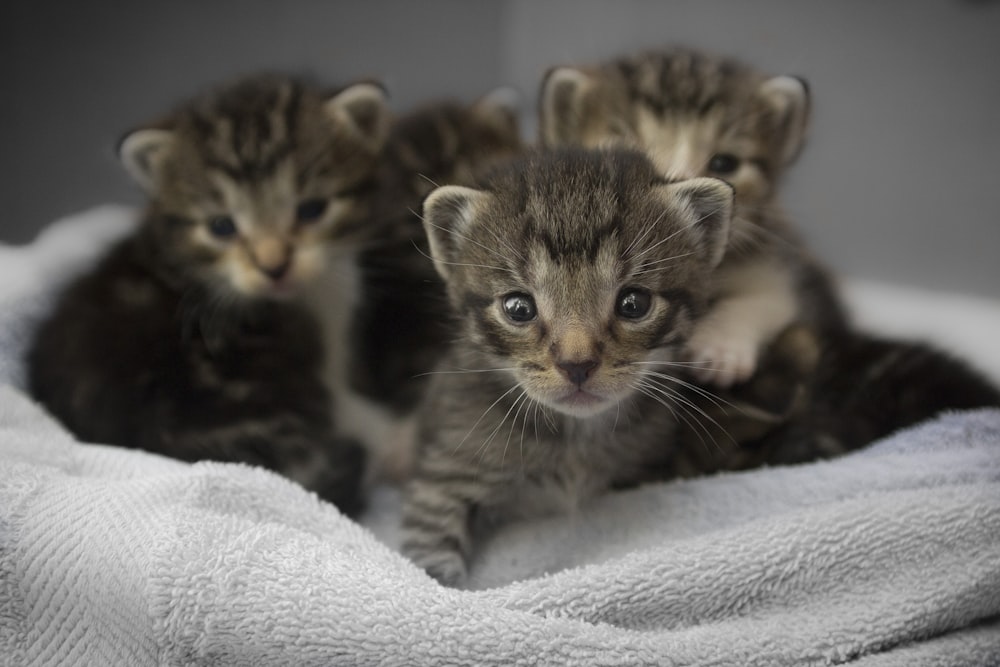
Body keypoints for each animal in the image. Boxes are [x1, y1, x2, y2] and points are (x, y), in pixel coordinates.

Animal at [398, 146, 736, 584]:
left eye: (634, 303)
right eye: (519, 308)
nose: (577, 364)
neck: (575, 439)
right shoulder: (446, 476)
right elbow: (430, 558)